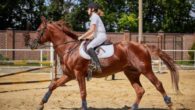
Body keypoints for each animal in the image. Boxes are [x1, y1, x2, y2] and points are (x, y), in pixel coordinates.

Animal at [24, 16, 180, 110]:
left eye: (38, 30)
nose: (31, 44)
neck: (69, 48)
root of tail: (143, 46)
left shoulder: (78, 74)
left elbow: (83, 92)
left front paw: (84, 107)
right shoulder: (69, 75)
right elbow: (52, 85)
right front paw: (41, 104)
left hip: (146, 69)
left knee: (158, 85)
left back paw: (170, 104)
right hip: (131, 73)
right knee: (140, 90)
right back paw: (133, 107)